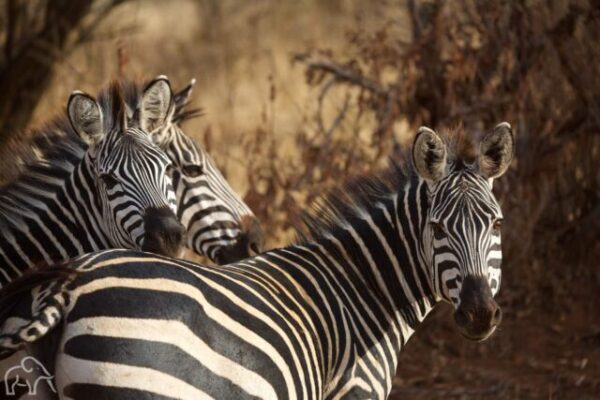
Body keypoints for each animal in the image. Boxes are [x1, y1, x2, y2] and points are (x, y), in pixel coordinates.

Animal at [0, 123, 516, 398]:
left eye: (497, 224)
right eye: (438, 229)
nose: (479, 314)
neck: (362, 292)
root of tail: (70, 288)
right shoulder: (352, 391)